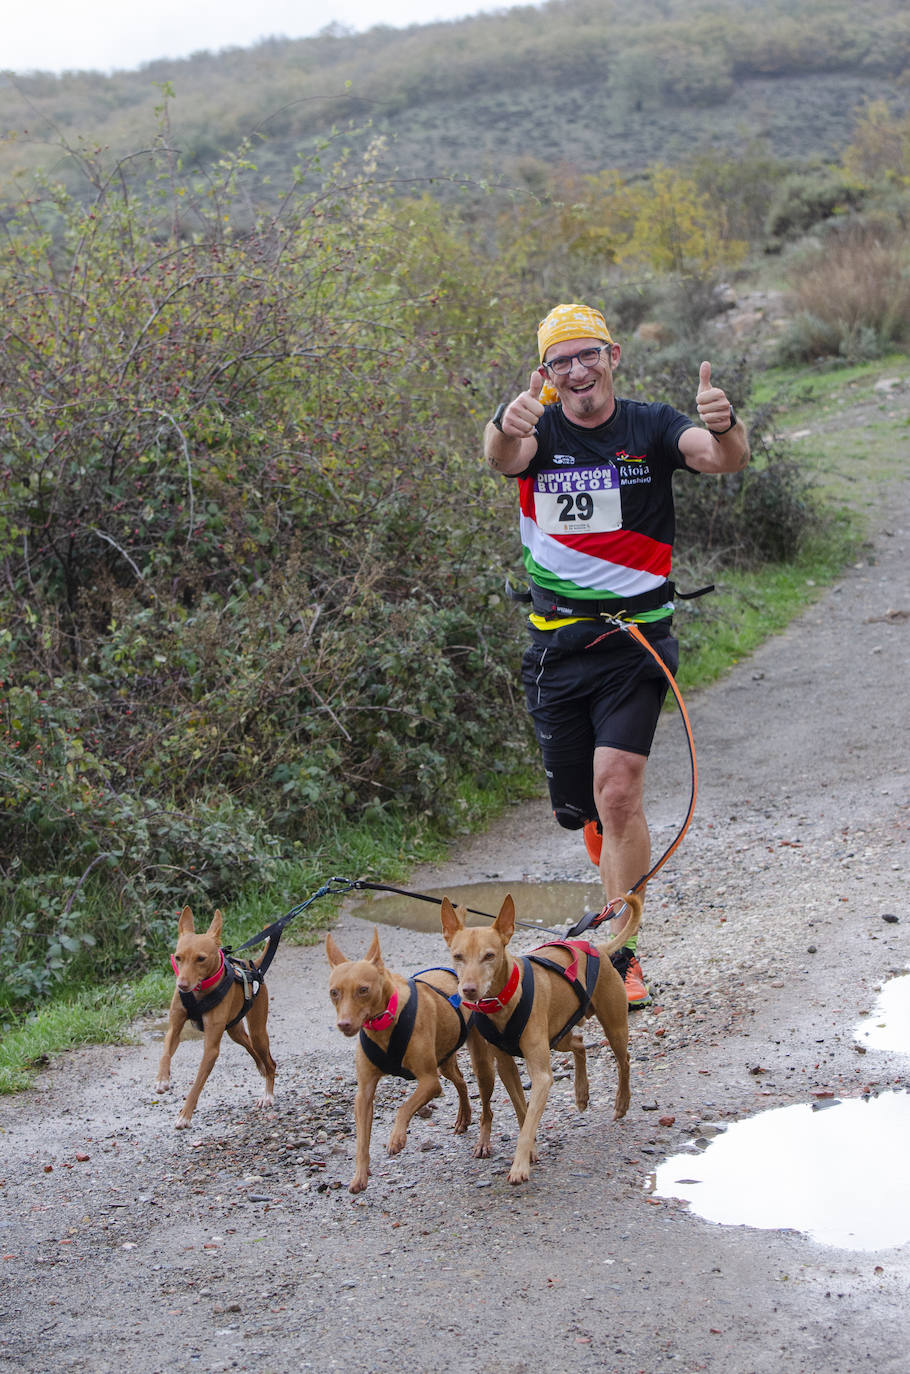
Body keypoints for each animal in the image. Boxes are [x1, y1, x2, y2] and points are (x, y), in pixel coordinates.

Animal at [156, 901, 277, 1126]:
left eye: (201, 959)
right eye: (178, 957)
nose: (181, 985)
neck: (198, 993)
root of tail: (254, 965)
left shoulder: (210, 1049)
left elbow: (197, 1084)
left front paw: (185, 1115)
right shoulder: (174, 1029)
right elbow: (166, 1051)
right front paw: (162, 1079)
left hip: (258, 1032)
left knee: (270, 1061)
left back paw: (268, 1095)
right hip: (234, 1030)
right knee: (250, 1046)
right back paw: (261, 1068)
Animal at [328, 934, 500, 1192]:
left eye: (363, 990)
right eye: (334, 993)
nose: (344, 1024)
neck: (385, 1022)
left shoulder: (429, 1082)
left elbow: (404, 1108)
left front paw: (396, 1138)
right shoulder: (364, 1094)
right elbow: (361, 1141)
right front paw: (359, 1175)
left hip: (481, 1065)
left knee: (486, 1109)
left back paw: (483, 1142)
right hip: (445, 1061)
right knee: (461, 1082)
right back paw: (463, 1117)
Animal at [439, 890, 640, 1181]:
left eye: (489, 956)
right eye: (458, 956)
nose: (468, 990)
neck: (502, 1000)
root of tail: (600, 949)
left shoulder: (542, 1076)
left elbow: (529, 1119)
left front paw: (519, 1165)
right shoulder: (506, 1067)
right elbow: (523, 1112)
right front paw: (531, 1151)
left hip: (614, 1027)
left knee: (624, 1061)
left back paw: (622, 1103)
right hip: (558, 1035)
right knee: (580, 1044)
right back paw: (581, 1093)